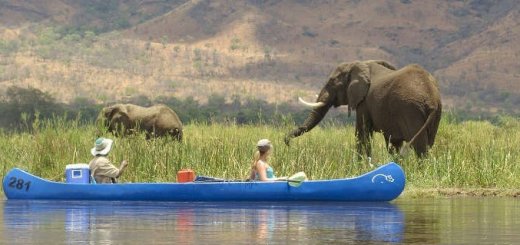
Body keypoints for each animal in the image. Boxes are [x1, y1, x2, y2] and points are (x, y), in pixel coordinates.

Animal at [284, 60, 442, 158]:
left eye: (332, 82)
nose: (287, 142)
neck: (358, 64)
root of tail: (431, 97)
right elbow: (392, 140)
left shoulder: (364, 102)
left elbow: (362, 133)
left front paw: (361, 167)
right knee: (427, 144)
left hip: (410, 110)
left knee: (419, 146)